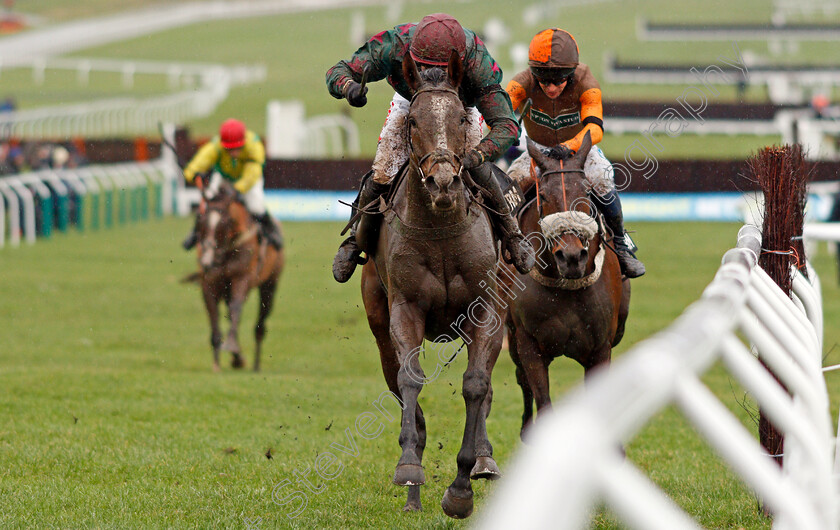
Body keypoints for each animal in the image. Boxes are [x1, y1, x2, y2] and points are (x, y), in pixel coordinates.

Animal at [189, 182, 284, 372]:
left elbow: (236, 308)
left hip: (269, 286)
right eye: (201, 221)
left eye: (225, 222)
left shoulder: (242, 278)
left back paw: (255, 364)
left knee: (260, 324)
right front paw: (217, 362)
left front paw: (231, 346)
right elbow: (214, 316)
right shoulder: (209, 283)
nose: (207, 261)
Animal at [358, 50, 502, 516]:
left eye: (459, 118)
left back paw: (484, 461)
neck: (440, 228)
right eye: (414, 121)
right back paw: (413, 491)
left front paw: (461, 489)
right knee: (395, 380)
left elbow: (476, 385)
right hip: (377, 318)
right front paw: (408, 467)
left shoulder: (487, 311)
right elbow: (410, 380)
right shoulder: (405, 308)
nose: (442, 181)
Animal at [506, 133, 632, 438]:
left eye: (586, 193)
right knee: (521, 379)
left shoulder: (601, 348)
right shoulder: (528, 344)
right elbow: (540, 396)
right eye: (544, 195)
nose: (572, 256)